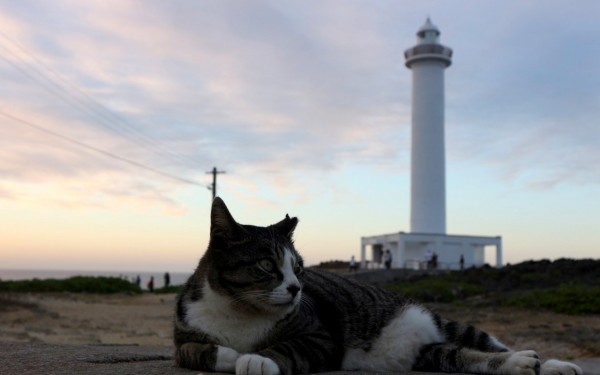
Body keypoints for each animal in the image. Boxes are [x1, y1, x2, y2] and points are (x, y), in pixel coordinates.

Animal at [172, 197, 580, 375]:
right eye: (267, 266)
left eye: (299, 269)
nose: (296, 289)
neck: (242, 313)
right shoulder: (182, 337)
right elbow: (196, 351)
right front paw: (230, 355)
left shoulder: (322, 337)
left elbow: (286, 347)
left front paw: (258, 358)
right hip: (427, 354)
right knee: (464, 357)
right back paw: (527, 364)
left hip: (452, 325)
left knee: (493, 346)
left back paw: (545, 362)